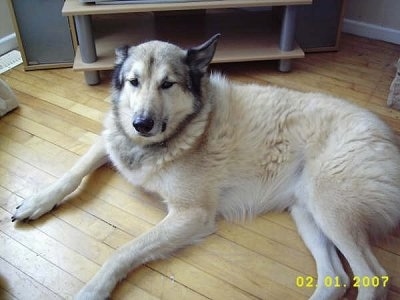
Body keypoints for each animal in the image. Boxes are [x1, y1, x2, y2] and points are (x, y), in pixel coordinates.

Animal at [10, 35, 400, 300]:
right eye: (134, 82)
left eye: (167, 84)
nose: (141, 124)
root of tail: (388, 135)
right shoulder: (110, 141)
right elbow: (72, 172)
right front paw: (36, 202)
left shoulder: (190, 215)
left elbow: (126, 250)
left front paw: (94, 288)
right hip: (307, 212)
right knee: (337, 279)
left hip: (329, 207)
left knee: (372, 278)